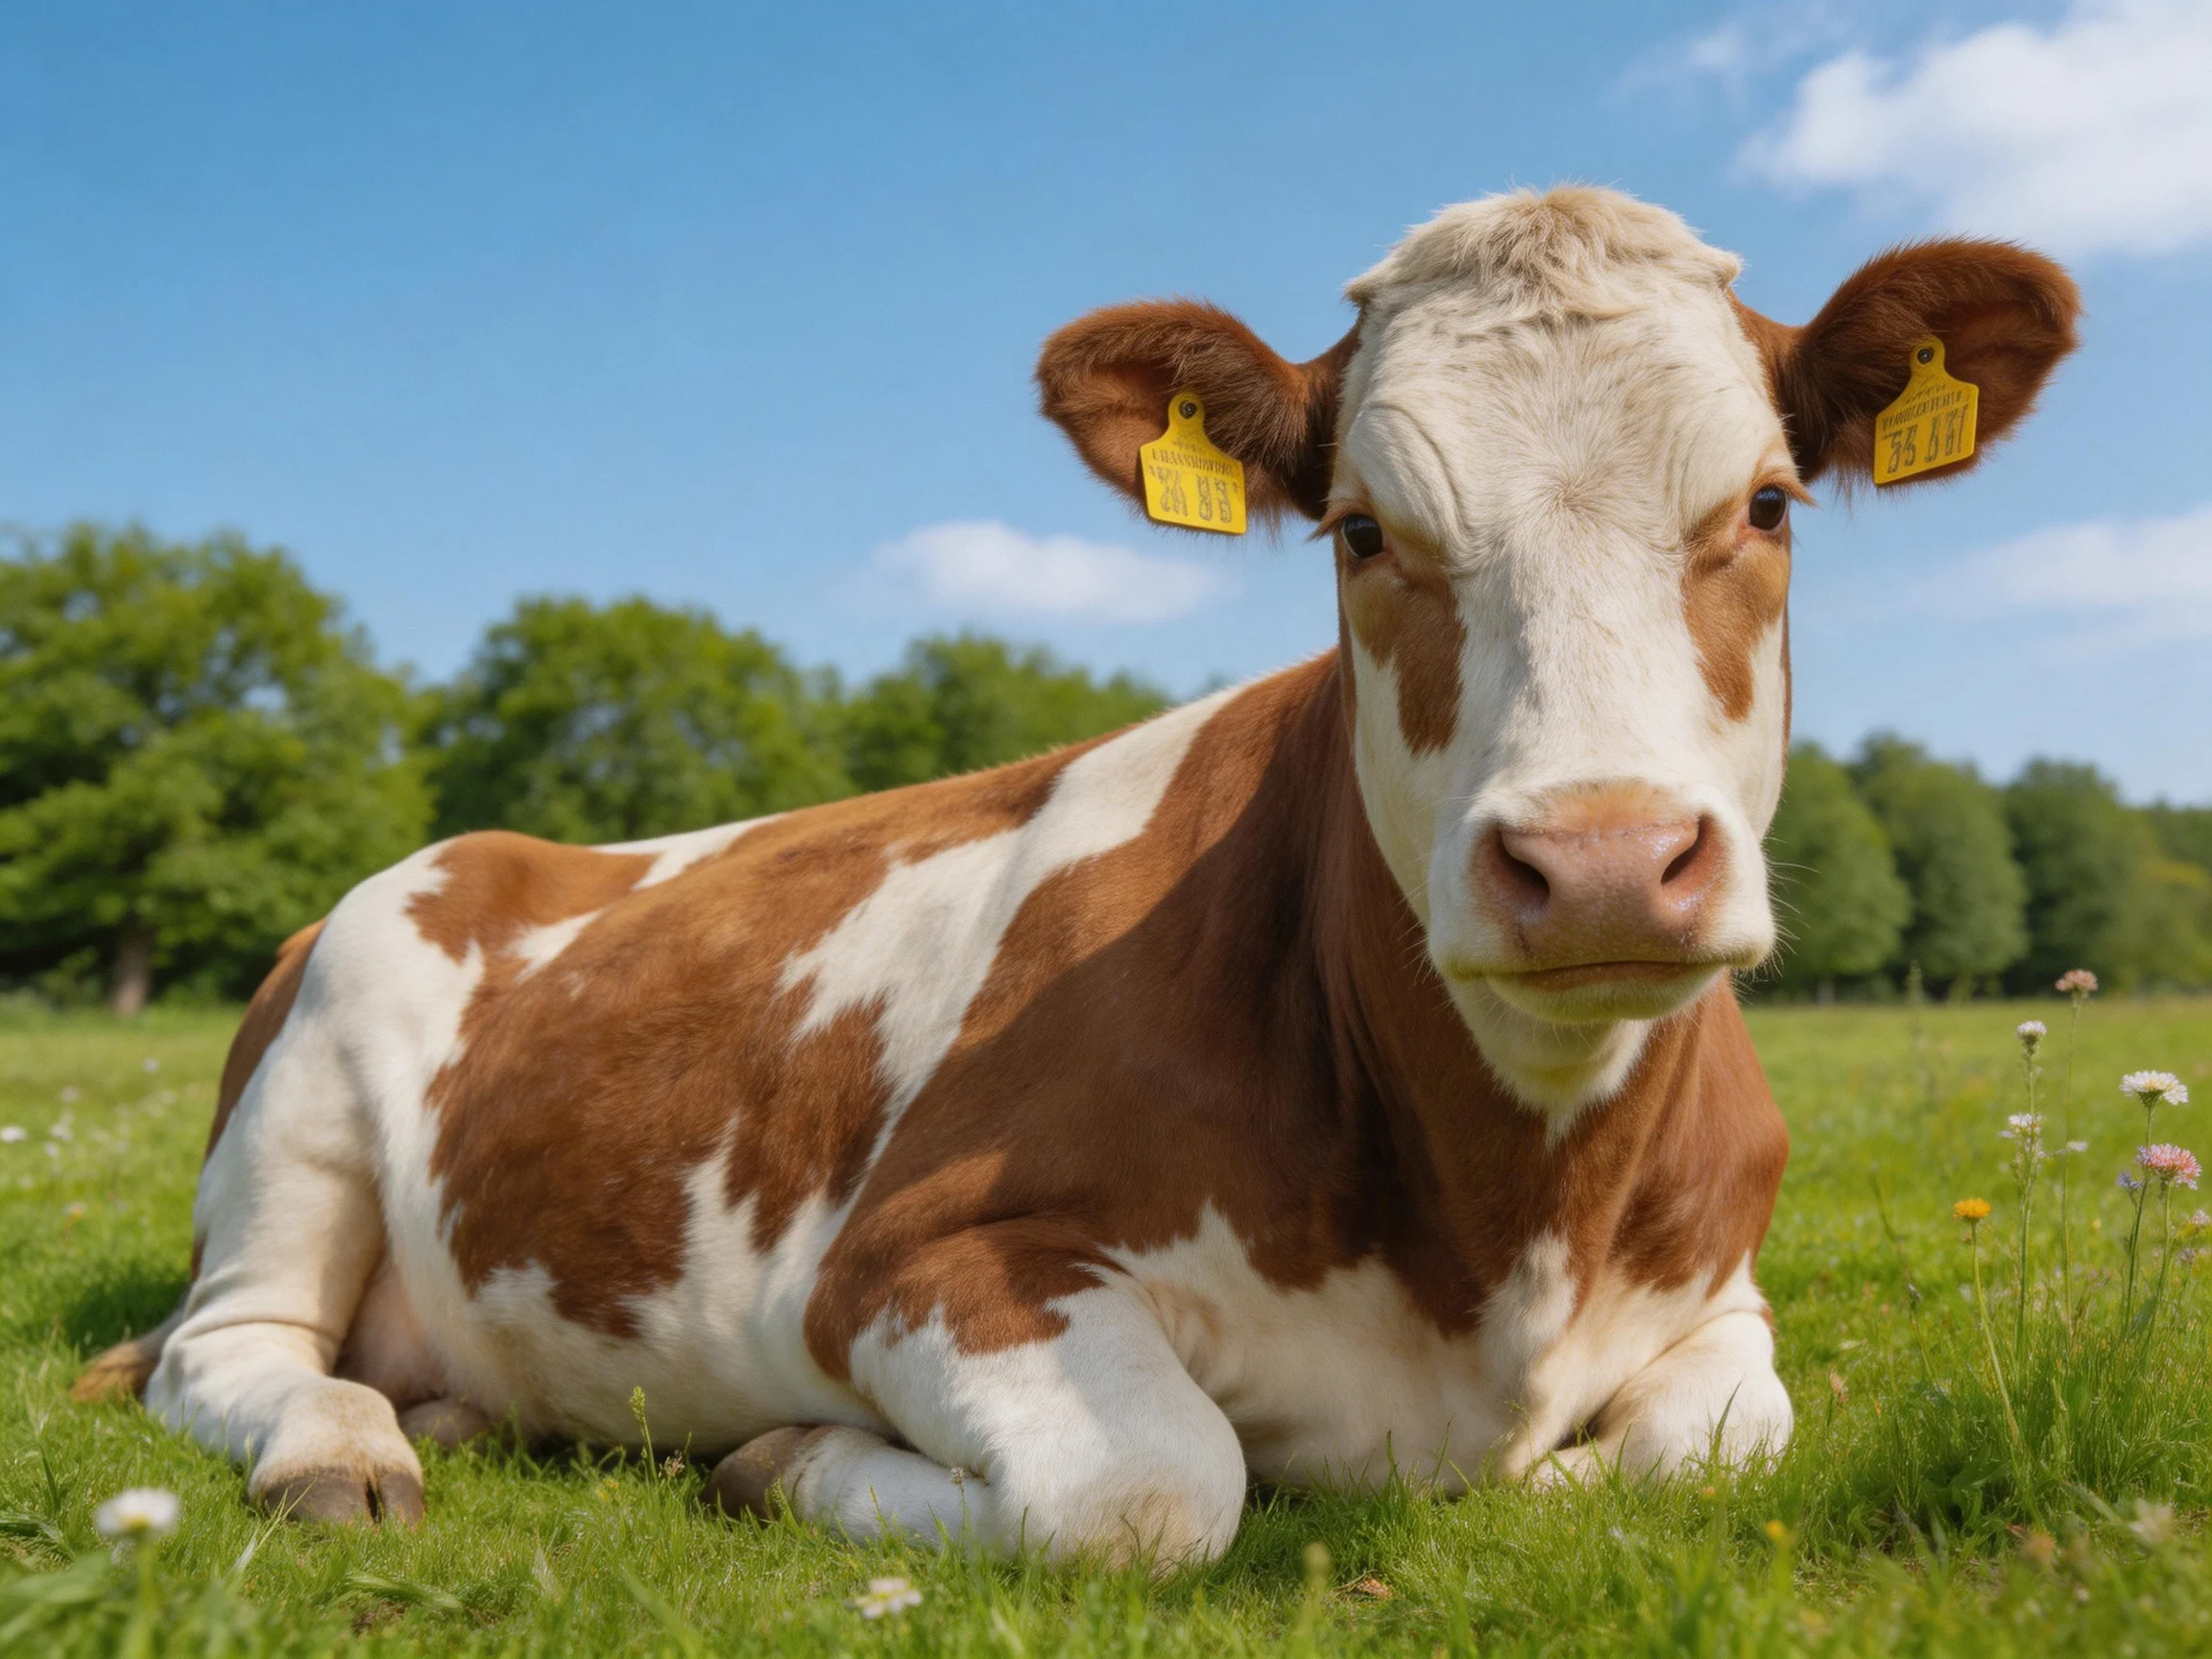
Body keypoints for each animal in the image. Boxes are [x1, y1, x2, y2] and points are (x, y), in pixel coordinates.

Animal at [77, 187, 2077, 1566]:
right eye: (1360, 531)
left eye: (1764, 503)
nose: (1593, 860)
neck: (1507, 1224)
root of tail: (479, 843)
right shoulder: (905, 1261)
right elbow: (1153, 1486)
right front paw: (776, 1459)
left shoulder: (1719, 1285)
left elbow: (1712, 1446)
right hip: (302, 1105)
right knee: (227, 1351)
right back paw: (347, 1447)